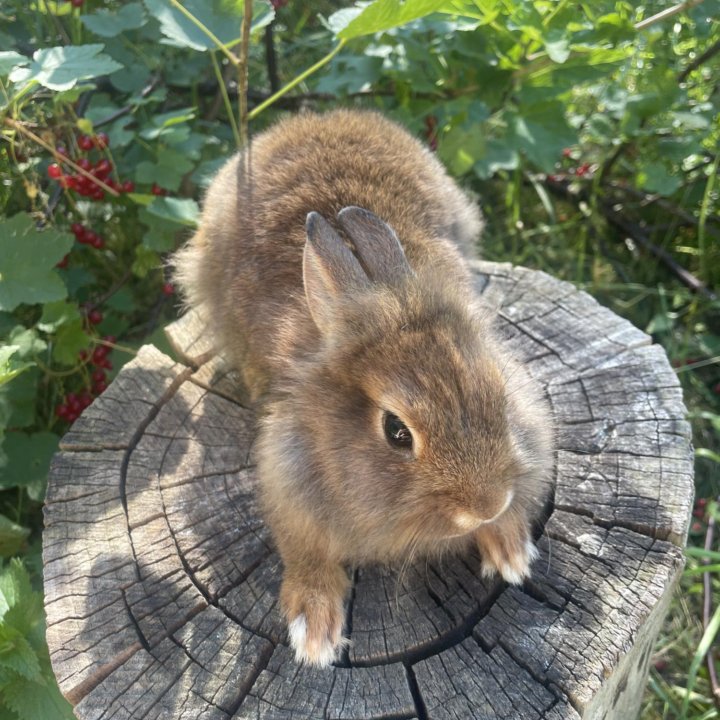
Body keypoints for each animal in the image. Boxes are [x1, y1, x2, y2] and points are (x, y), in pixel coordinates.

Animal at [172, 109, 556, 668]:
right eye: (397, 432)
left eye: (497, 392)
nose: (485, 504)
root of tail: (317, 119)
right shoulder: (290, 483)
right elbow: (306, 553)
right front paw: (314, 634)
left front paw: (510, 552)